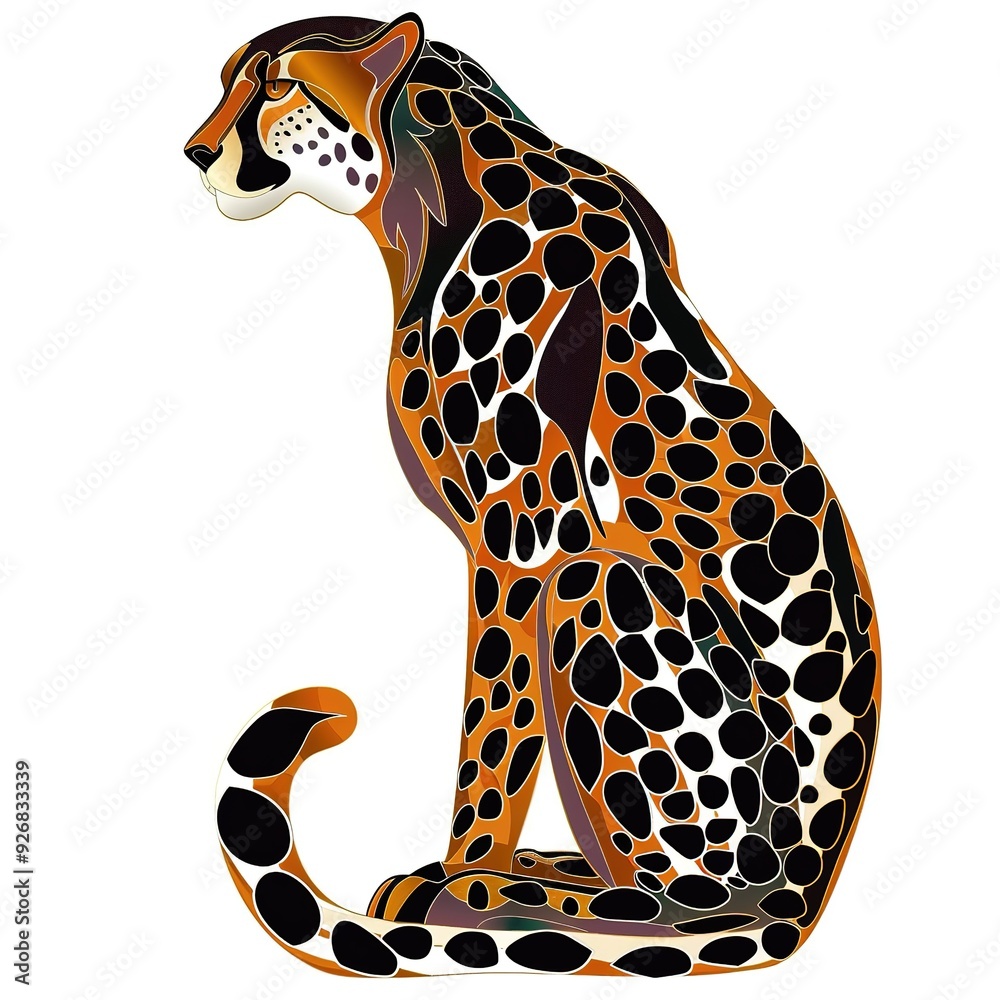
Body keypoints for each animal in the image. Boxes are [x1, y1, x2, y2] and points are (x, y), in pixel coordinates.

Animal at [185, 13, 881, 978]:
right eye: (226, 81)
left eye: (282, 84)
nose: (195, 151)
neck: (424, 196)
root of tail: (809, 889)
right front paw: (463, 876)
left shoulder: (525, 537)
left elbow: (491, 734)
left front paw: (460, 880)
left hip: (602, 589)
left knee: (684, 905)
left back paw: (508, 896)